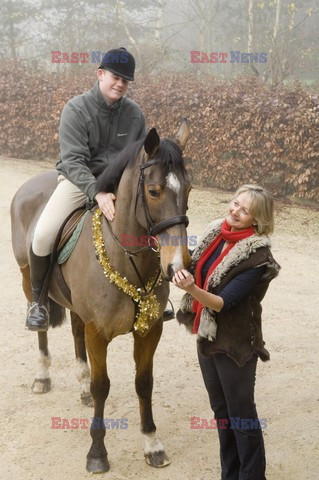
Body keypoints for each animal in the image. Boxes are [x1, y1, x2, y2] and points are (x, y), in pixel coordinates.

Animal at [10, 122, 191, 474]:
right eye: (153, 191)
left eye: (188, 189)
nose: (177, 265)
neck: (127, 259)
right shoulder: (98, 333)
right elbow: (102, 386)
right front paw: (97, 453)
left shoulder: (149, 331)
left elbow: (143, 382)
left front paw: (152, 445)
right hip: (28, 279)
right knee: (41, 326)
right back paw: (42, 375)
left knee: (75, 332)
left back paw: (80, 386)